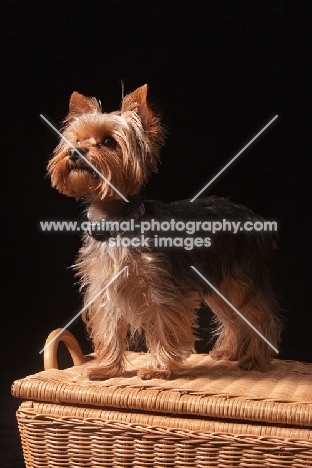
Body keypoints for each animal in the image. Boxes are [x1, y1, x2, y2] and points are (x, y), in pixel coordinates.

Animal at [47, 85, 282, 380]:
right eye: (76, 139)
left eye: (109, 142)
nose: (75, 152)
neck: (117, 222)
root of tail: (254, 217)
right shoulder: (106, 286)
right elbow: (110, 327)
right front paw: (107, 367)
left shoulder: (160, 286)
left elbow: (161, 324)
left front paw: (160, 368)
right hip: (218, 284)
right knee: (234, 318)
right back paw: (229, 352)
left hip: (241, 278)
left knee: (260, 317)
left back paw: (255, 359)